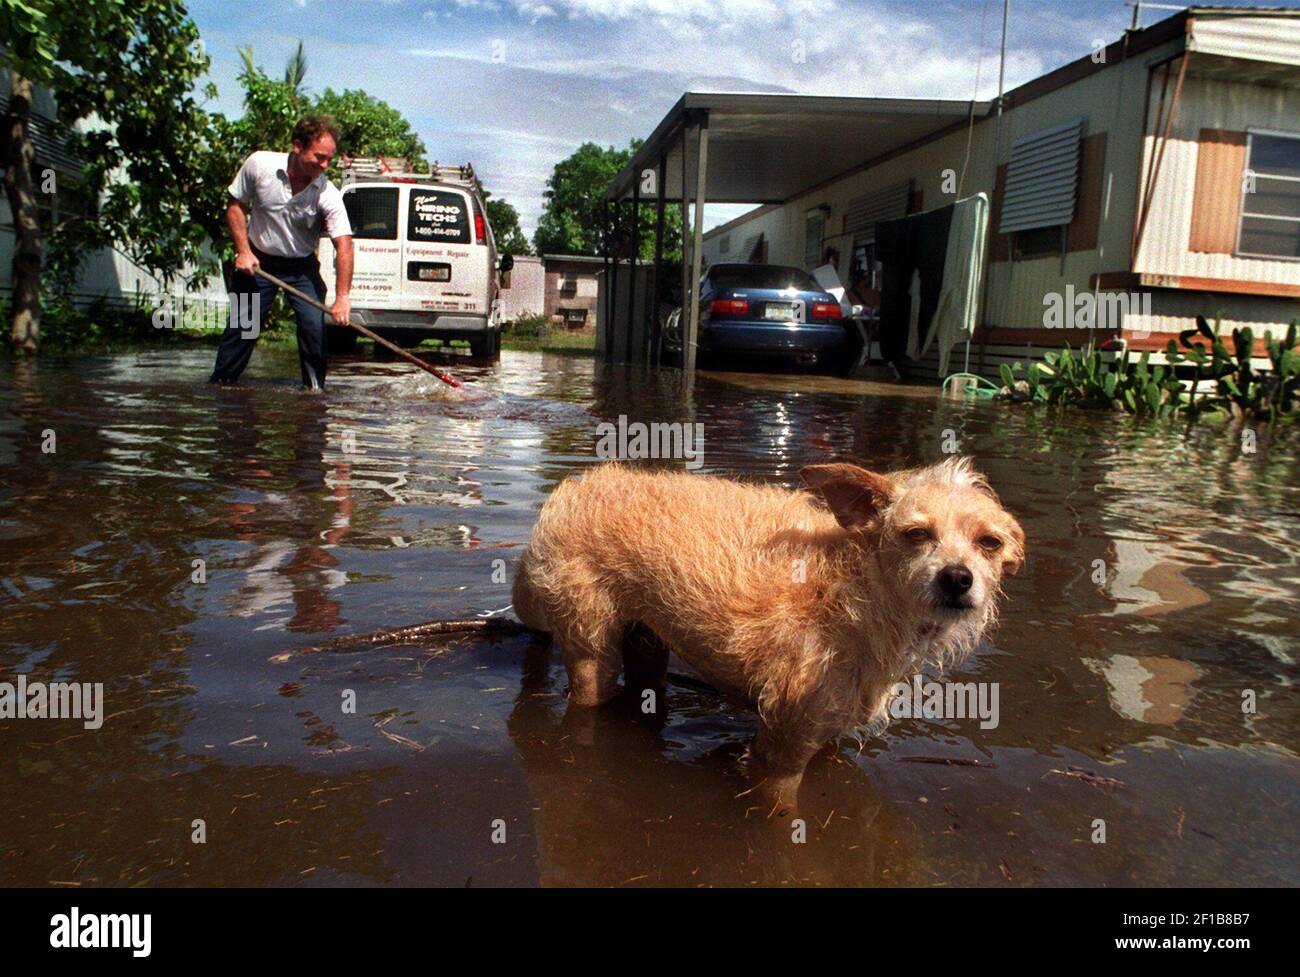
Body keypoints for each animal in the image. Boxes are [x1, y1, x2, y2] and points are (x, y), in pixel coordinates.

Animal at [509, 462, 1024, 810]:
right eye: (916, 534)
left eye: (989, 542)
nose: (957, 577)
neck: (855, 590)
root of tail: (575, 488)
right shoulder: (782, 748)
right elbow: (778, 811)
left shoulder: (822, 728)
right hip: (590, 650)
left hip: (647, 645)